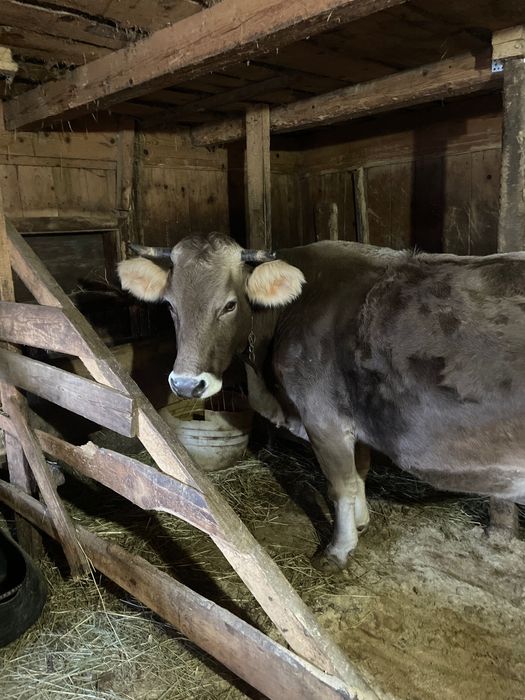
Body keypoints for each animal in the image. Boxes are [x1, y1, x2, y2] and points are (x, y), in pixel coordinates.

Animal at [118, 233, 525, 570]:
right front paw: (362, 522)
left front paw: (339, 549)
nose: (186, 384)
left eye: (230, 305)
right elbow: (359, 472)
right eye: (171, 306)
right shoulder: (353, 420)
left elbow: (340, 485)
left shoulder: (323, 417)